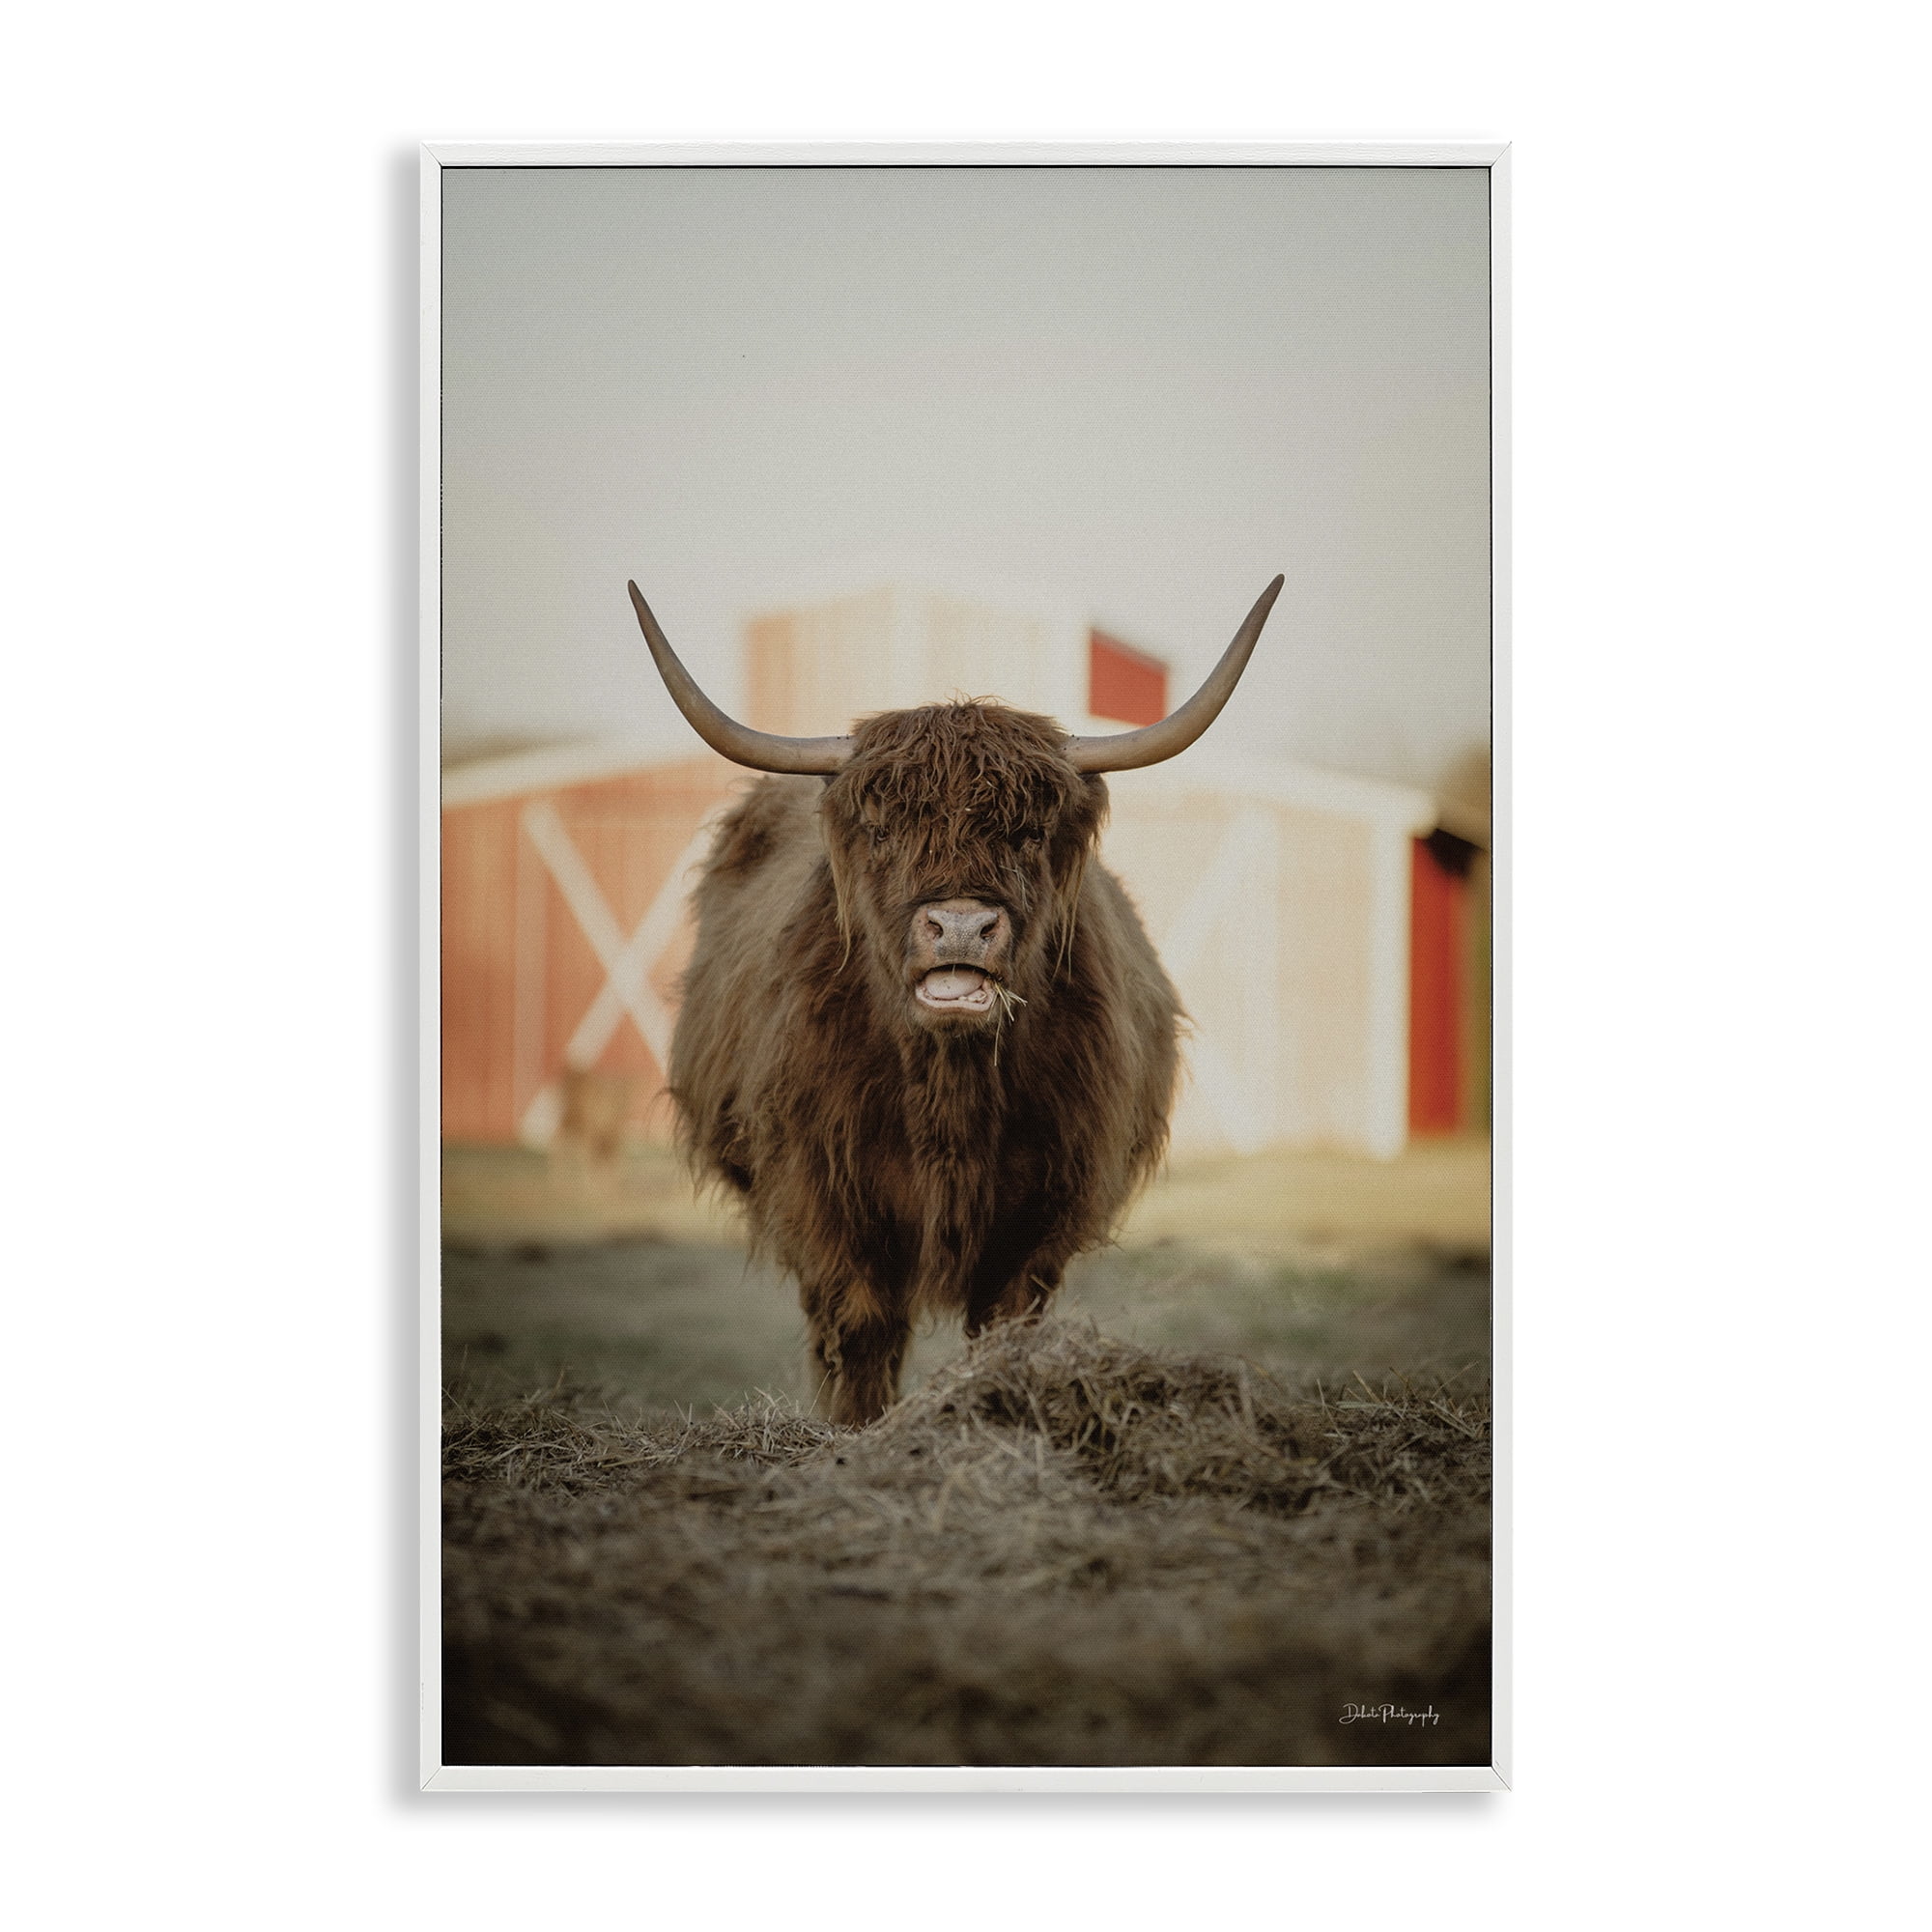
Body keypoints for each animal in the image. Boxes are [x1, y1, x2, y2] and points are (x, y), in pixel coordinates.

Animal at [627, 575, 1282, 1425]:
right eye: (881, 828)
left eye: (1029, 832)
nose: (962, 925)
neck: (948, 1090)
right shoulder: (821, 1190)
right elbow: (861, 1325)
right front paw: (861, 1430)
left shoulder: (1045, 1205)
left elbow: (1003, 1322)